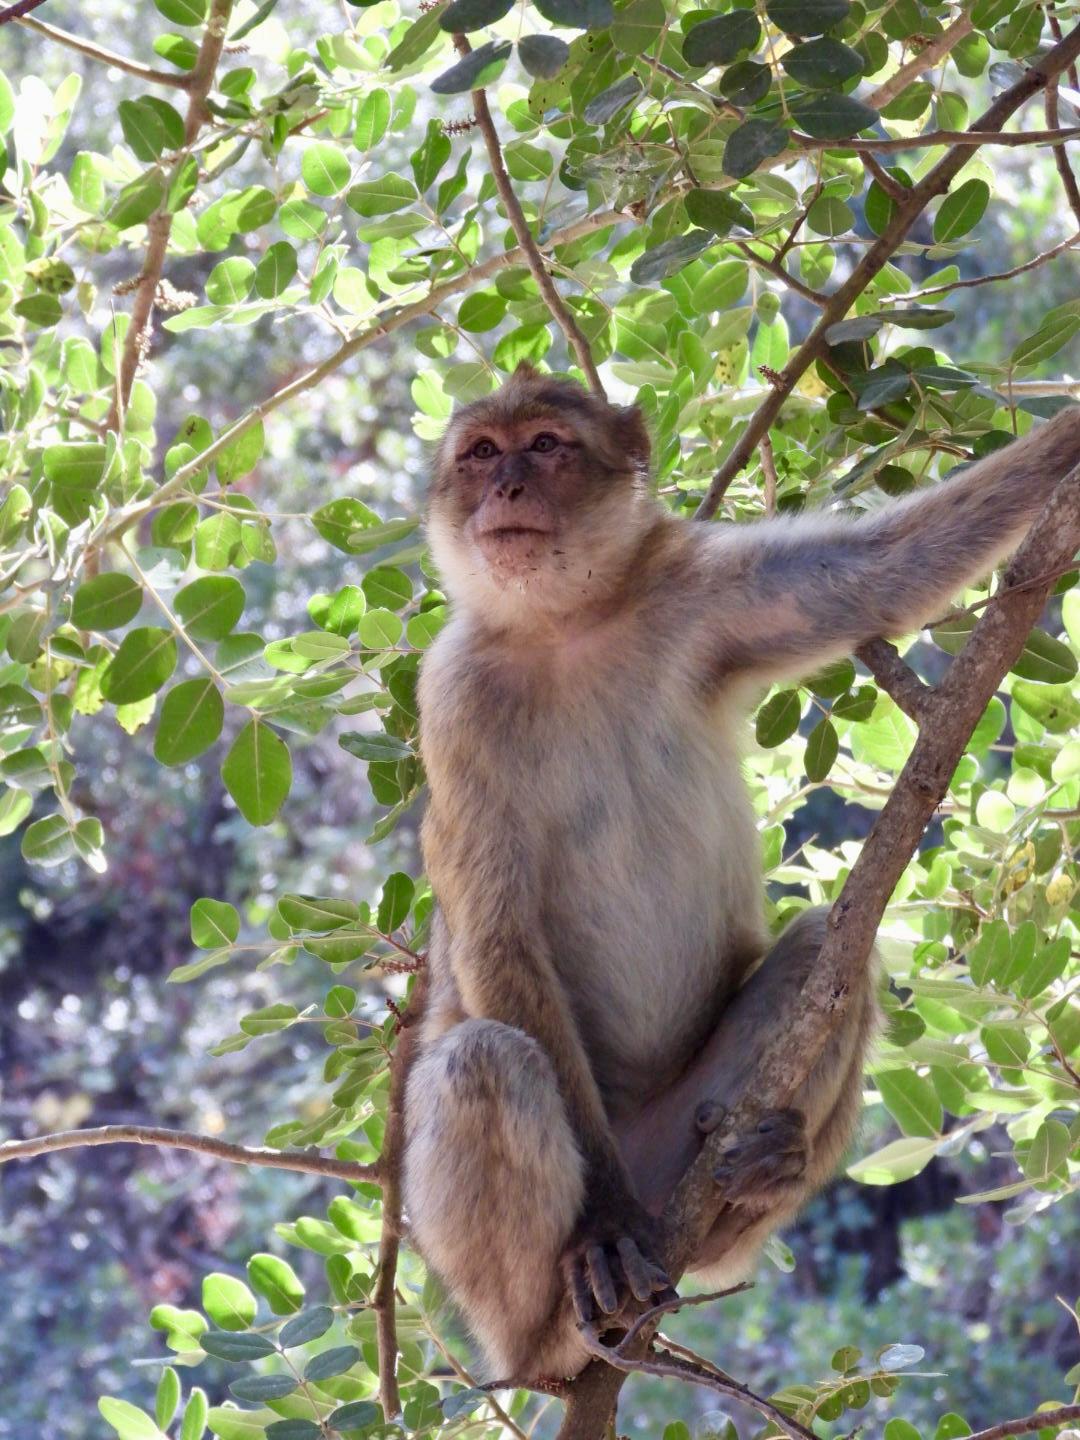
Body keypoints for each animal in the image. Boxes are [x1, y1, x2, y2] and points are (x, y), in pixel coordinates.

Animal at [402, 362, 1080, 1382]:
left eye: (547, 446)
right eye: (481, 454)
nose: (507, 488)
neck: (566, 626)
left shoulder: (695, 589)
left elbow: (874, 574)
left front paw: (1065, 444)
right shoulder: (452, 703)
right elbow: (495, 936)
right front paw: (599, 1227)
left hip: (688, 1138)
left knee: (830, 954)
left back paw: (759, 1183)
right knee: (486, 1061)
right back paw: (562, 1324)